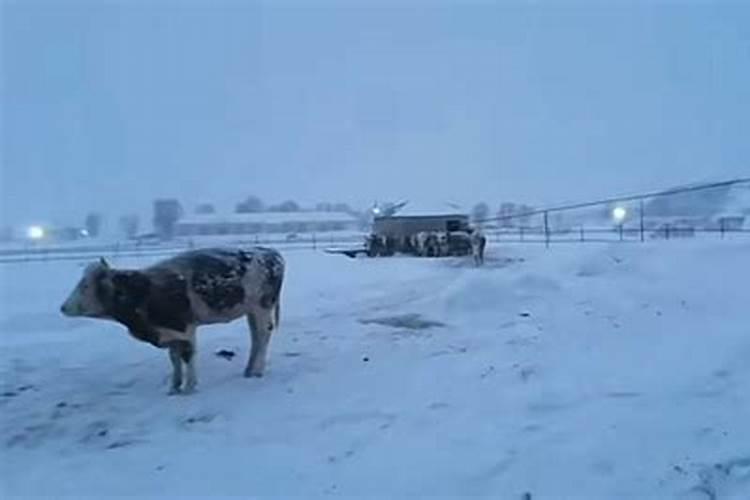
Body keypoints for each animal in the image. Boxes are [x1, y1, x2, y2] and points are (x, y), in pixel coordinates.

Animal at [60, 246, 284, 394]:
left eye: (85, 286)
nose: (63, 307)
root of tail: (269, 251)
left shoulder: (185, 329)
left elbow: (188, 356)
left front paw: (189, 387)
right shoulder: (169, 333)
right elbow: (174, 359)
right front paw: (174, 387)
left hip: (262, 307)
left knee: (262, 336)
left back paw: (257, 371)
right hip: (251, 310)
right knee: (256, 338)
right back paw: (249, 370)